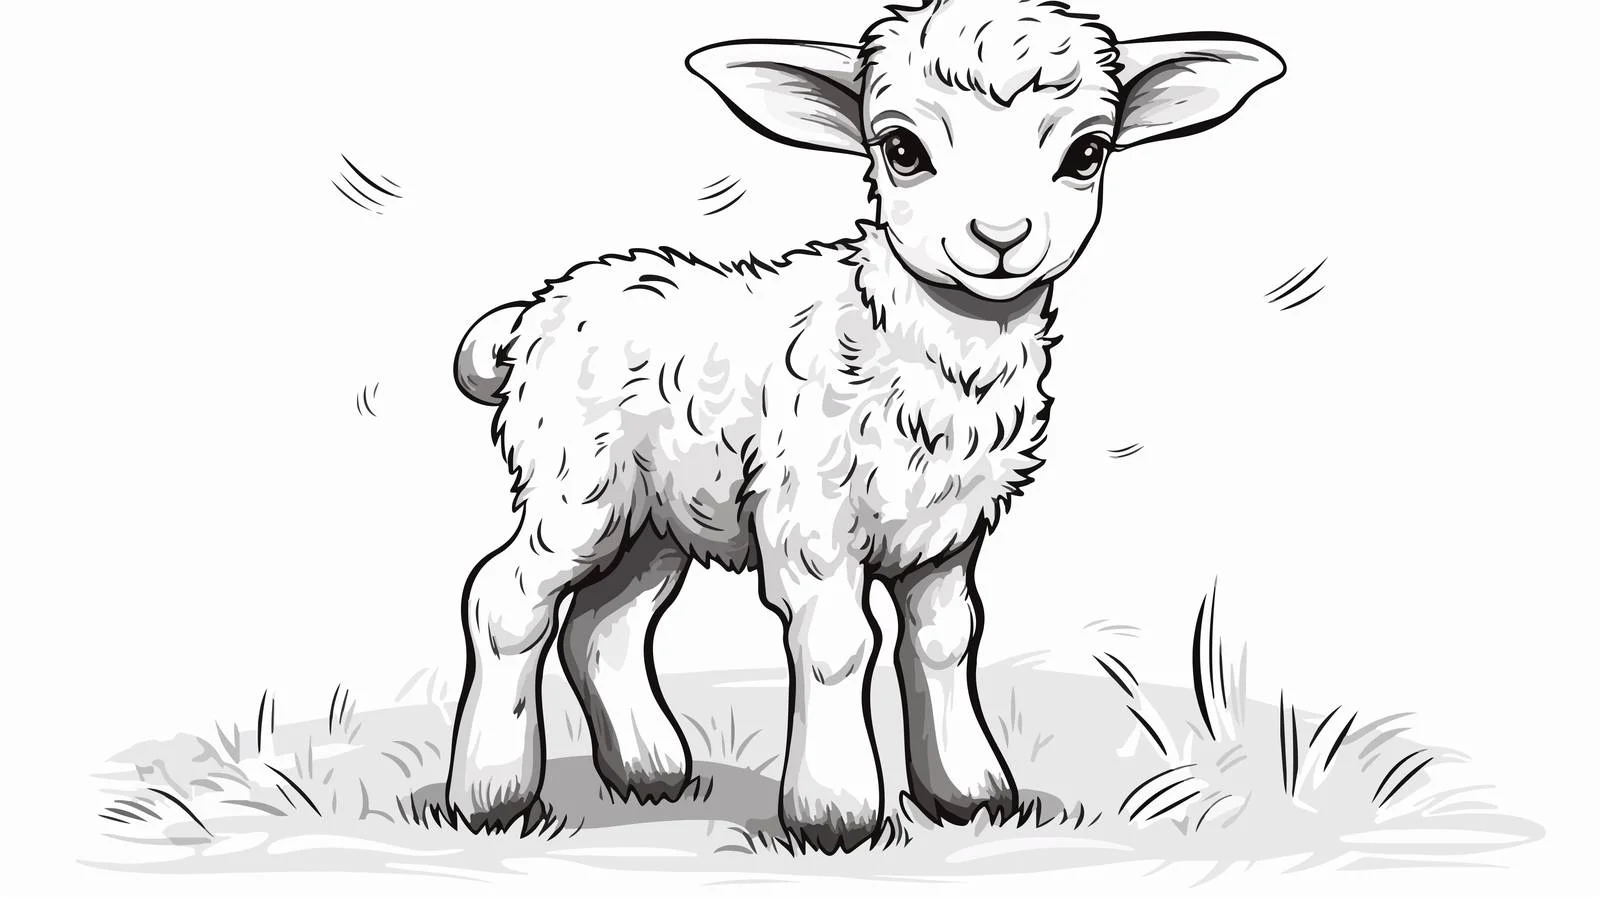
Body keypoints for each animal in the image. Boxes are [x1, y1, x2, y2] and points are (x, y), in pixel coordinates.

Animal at [446, 0, 1284, 852]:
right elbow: (840, 645)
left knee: (604, 623)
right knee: (507, 598)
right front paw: (836, 811)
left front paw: (970, 792)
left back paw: (650, 770)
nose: (1001, 237)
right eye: (902, 149)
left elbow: (948, 639)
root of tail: (533, 314)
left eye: (1088, 153)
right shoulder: (810, 514)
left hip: (656, 515)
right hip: (578, 481)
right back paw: (492, 794)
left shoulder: (947, 532)